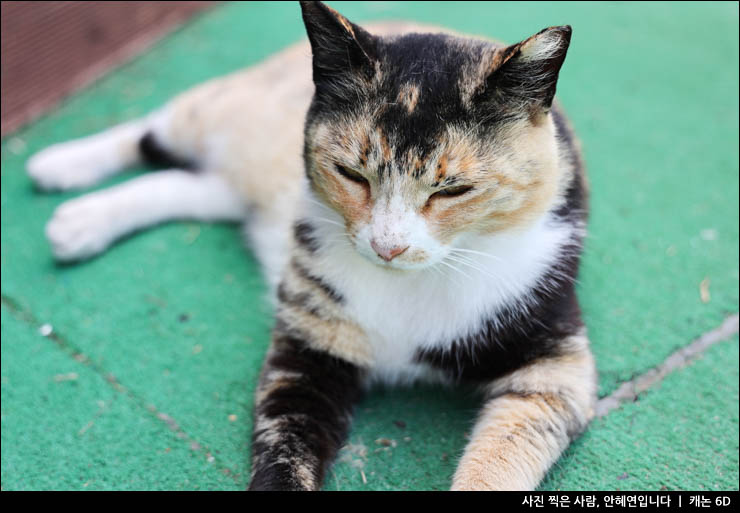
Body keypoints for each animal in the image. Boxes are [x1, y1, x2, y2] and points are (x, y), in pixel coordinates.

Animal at [26, 2, 600, 490]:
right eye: (350, 173)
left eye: (453, 190)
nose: (387, 246)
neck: (409, 283)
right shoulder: (308, 353)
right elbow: (286, 445)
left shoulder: (554, 370)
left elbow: (504, 454)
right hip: (224, 112)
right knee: (157, 130)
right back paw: (59, 165)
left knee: (186, 184)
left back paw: (79, 221)